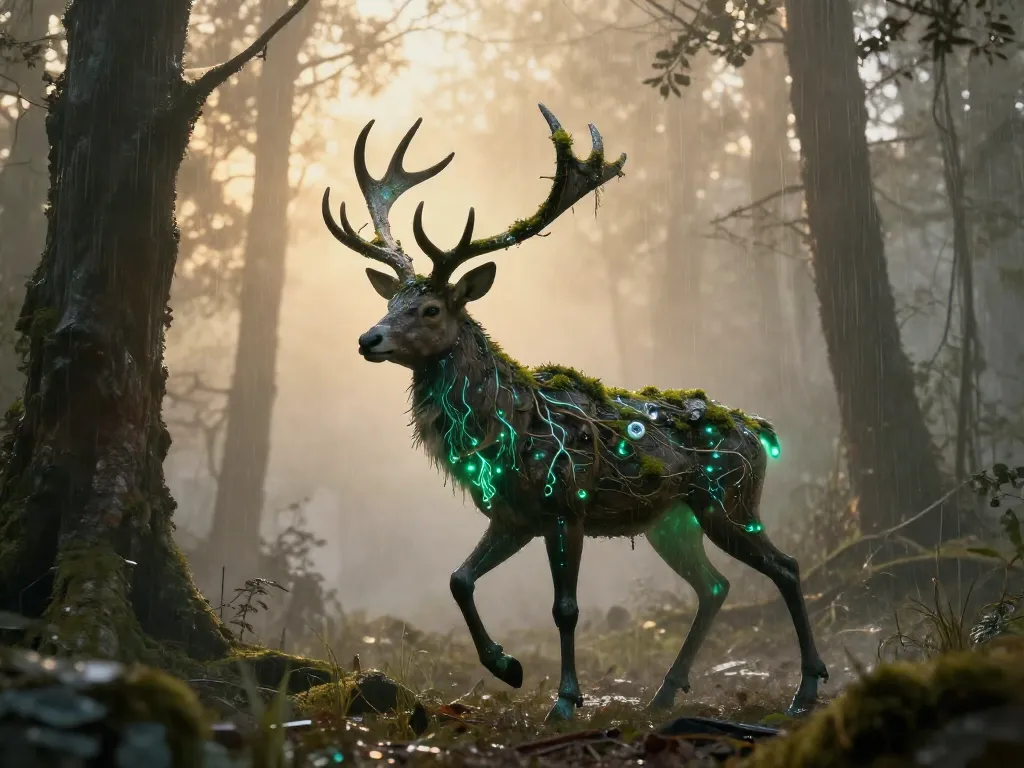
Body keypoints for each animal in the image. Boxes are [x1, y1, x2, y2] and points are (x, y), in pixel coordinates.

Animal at [321, 104, 829, 723]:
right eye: (390, 301)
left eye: (431, 308)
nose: (368, 339)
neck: (505, 435)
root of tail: (761, 432)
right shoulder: (513, 515)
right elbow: (459, 579)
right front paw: (507, 666)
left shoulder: (569, 505)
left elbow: (565, 608)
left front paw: (564, 700)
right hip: (672, 520)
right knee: (714, 586)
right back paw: (665, 692)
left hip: (728, 499)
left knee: (786, 567)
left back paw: (806, 688)